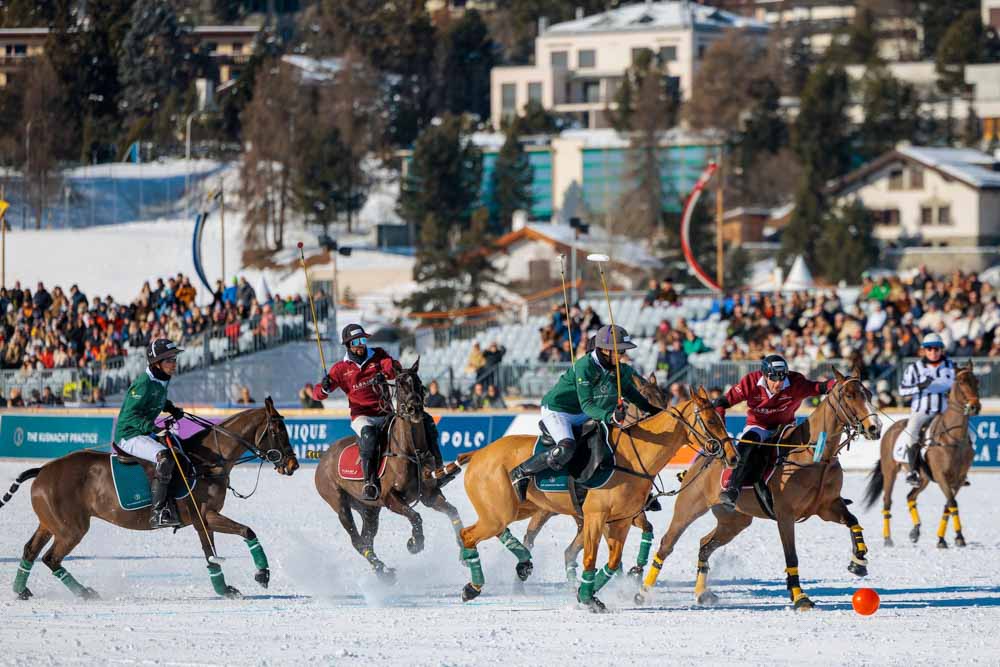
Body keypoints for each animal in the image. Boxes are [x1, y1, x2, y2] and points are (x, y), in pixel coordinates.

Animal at [0, 400, 298, 604]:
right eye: (278, 430)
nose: (292, 465)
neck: (208, 460)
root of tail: (41, 471)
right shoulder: (204, 515)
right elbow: (241, 534)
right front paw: (261, 575)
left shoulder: (203, 519)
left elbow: (215, 551)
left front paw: (226, 588)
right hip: (71, 528)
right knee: (51, 558)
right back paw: (85, 592)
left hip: (49, 523)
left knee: (30, 550)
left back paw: (21, 590)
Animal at [314, 360, 466, 580]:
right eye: (400, 385)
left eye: (419, 384)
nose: (414, 409)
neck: (410, 450)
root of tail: (323, 458)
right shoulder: (389, 498)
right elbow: (415, 516)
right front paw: (414, 543)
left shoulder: (429, 495)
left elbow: (452, 512)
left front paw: (464, 550)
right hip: (339, 502)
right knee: (357, 540)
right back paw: (382, 570)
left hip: (368, 508)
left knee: (367, 538)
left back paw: (382, 571)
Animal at [442, 388, 740, 612]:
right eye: (711, 421)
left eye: (722, 419)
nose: (733, 456)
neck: (634, 457)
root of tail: (478, 453)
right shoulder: (596, 517)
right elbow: (589, 558)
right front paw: (587, 598)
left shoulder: (620, 521)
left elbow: (611, 562)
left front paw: (589, 594)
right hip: (501, 511)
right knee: (470, 534)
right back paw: (472, 587)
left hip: (516, 509)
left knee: (485, 533)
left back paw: (518, 563)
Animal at [636, 370, 880, 612]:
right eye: (849, 395)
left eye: (868, 394)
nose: (875, 428)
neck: (816, 455)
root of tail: (701, 462)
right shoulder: (785, 514)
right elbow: (791, 557)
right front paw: (800, 598)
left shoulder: (828, 506)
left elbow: (853, 521)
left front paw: (858, 561)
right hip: (689, 508)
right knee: (667, 544)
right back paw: (642, 592)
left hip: (734, 520)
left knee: (705, 544)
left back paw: (702, 592)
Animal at [864, 362, 980, 552]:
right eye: (961, 382)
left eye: (977, 381)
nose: (975, 406)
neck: (954, 439)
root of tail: (890, 429)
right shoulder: (941, 477)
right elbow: (952, 503)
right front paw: (957, 538)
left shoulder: (958, 479)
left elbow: (948, 505)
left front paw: (944, 539)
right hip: (890, 471)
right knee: (887, 501)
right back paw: (888, 539)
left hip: (923, 478)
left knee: (911, 496)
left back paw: (915, 531)